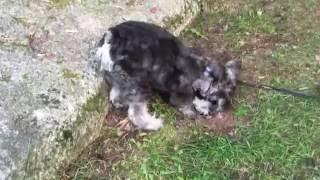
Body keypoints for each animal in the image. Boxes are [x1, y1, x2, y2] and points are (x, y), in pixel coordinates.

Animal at [95, 20, 240, 131]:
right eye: (214, 101)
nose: (208, 113)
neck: (198, 70)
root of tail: (111, 38)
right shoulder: (180, 92)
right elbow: (183, 104)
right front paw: (190, 112)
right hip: (138, 85)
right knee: (135, 113)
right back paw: (153, 124)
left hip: (120, 77)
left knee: (114, 93)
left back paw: (119, 103)